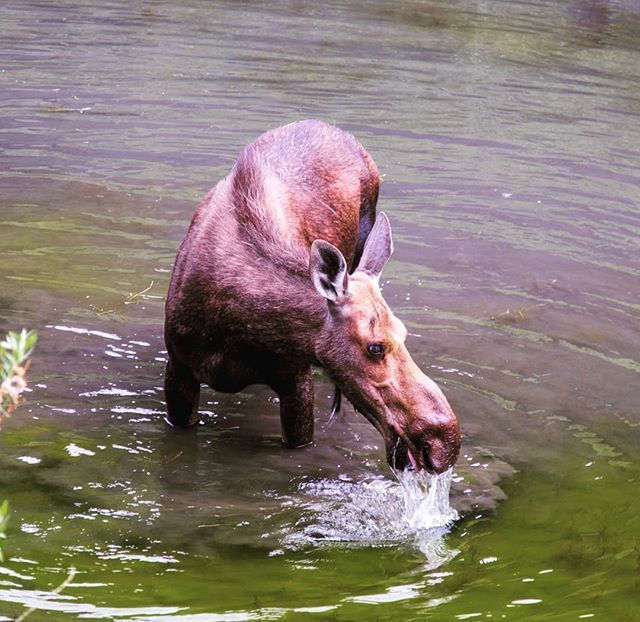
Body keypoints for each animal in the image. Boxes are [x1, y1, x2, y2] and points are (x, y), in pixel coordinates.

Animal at [162, 119, 458, 476]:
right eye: (375, 347)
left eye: (403, 333)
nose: (444, 442)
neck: (238, 327)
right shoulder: (179, 368)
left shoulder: (297, 379)